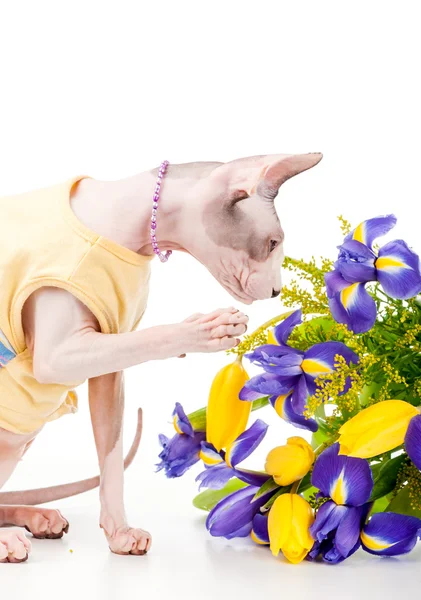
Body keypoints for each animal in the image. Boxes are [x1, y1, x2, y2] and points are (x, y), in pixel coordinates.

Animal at [0, 151, 322, 564]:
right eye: (271, 243)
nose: (277, 291)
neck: (121, 228)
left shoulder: (108, 361)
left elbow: (111, 455)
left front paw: (119, 533)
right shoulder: (59, 354)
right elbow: (148, 337)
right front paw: (202, 329)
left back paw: (36, 518)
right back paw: (8, 538)